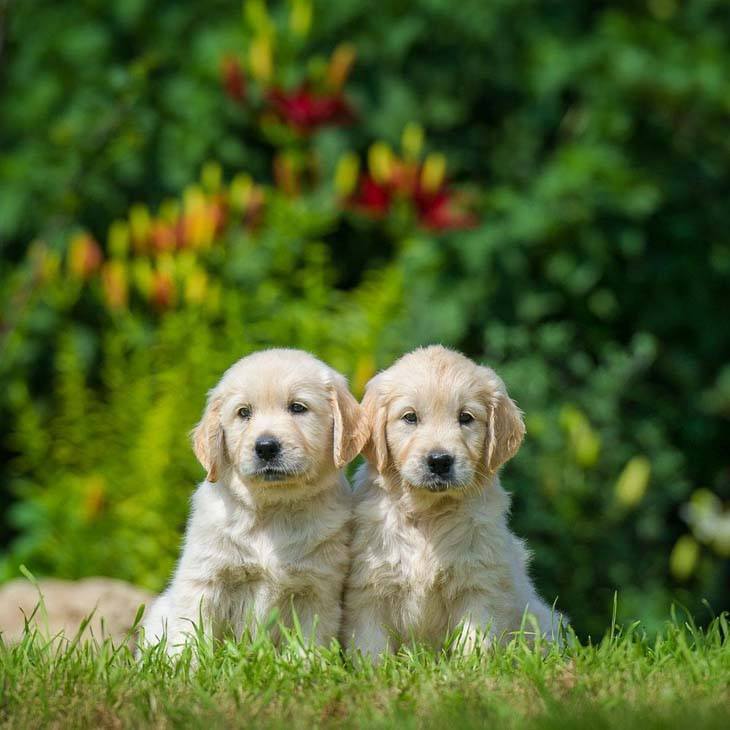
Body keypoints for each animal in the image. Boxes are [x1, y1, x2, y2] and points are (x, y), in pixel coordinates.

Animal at [140, 350, 366, 652]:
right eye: (243, 412)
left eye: (297, 408)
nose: (266, 447)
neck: (272, 509)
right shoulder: (204, 580)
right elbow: (190, 635)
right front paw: (186, 662)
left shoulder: (317, 589)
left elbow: (308, 643)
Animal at [342, 342, 564, 656]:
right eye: (410, 417)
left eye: (465, 418)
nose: (439, 461)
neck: (428, 515)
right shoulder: (369, 588)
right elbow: (370, 648)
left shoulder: (479, 585)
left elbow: (474, 642)